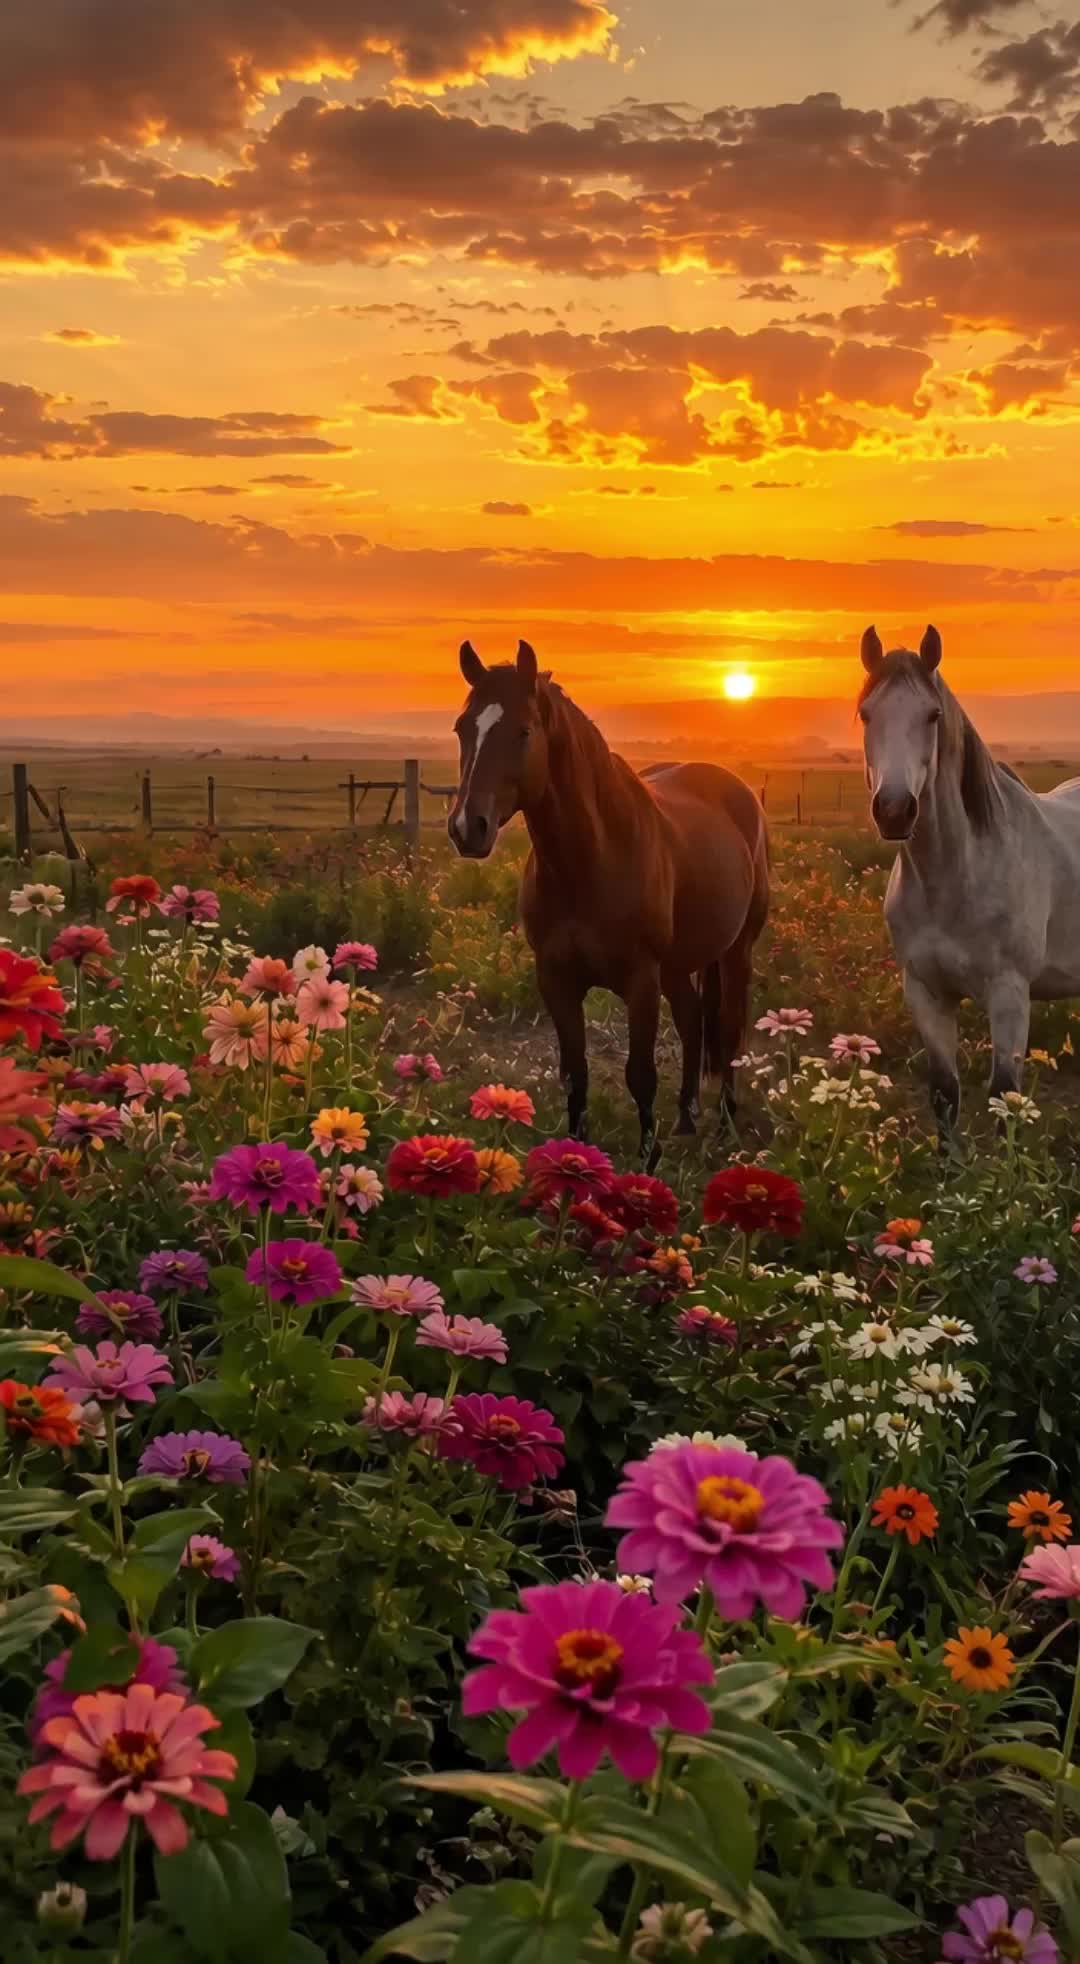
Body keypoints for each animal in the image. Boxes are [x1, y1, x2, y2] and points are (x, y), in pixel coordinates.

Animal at [447, 638, 770, 1159]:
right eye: (462, 729)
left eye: (523, 731)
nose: (465, 828)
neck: (591, 862)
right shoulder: (556, 979)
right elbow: (574, 1074)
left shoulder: (640, 981)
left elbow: (640, 1075)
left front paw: (647, 1160)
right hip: (677, 966)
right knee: (692, 1020)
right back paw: (685, 1118)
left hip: (735, 952)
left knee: (727, 1030)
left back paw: (725, 1124)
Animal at [859, 622, 1080, 1130]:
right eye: (865, 713)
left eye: (933, 714)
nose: (895, 810)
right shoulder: (927, 993)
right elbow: (944, 1094)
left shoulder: (1009, 995)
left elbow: (1004, 1100)